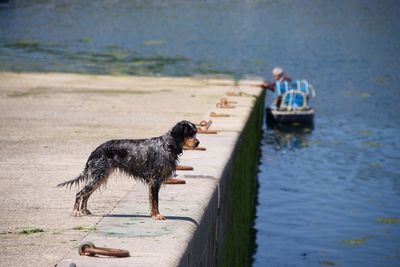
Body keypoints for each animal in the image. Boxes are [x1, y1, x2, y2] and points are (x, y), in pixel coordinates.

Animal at [56, 121, 200, 220]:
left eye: (195, 132)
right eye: (189, 133)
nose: (198, 142)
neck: (168, 145)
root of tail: (95, 151)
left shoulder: (154, 182)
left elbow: (153, 201)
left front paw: (154, 215)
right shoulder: (154, 181)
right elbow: (155, 201)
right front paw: (157, 216)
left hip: (100, 177)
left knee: (86, 194)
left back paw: (85, 211)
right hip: (98, 176)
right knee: (80, 193)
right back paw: (76, 212)